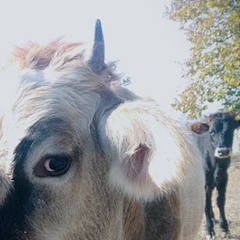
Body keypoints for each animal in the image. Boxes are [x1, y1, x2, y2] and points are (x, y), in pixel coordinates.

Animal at [190, 111, 239, 239]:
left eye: (231, 130)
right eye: (211, 132)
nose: (223, 151)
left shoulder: (224, 177)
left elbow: (220, 201)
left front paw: (224, 228)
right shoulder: (203, 182)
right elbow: (206, 204)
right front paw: (209, 230)